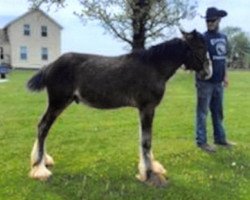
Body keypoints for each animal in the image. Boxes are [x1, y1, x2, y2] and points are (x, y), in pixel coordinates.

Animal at [26, 28, 211, 187]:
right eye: (200, 47)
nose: (207, 73)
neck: (153, 66)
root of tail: (50, 66)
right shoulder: (147, 108)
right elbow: (146, 141)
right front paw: (149, 175)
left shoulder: (143, 109)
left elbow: (143, 138)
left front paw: (150, 168)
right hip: (58, 103)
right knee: (43, 127)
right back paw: (40, 169)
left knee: (43, 128)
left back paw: (43, 162)